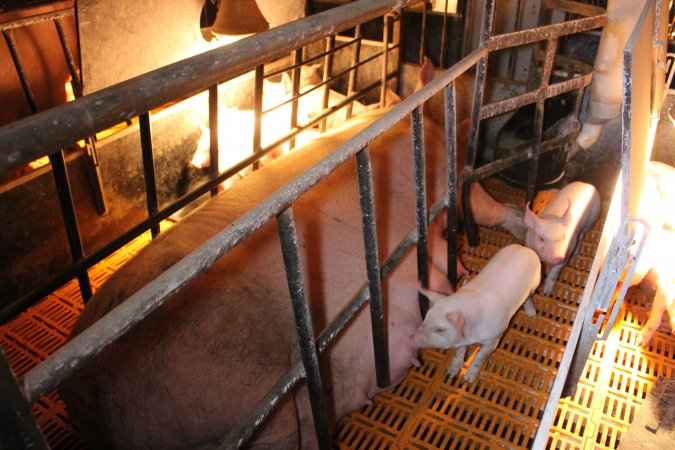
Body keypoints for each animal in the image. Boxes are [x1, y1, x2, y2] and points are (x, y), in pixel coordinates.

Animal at [410, 244, 540, 382]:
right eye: (425, 319)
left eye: (439, 330)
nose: (412, 338)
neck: (471, 335)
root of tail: (524, 248)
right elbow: (459, 353)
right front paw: (450, 374)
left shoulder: (493, 338)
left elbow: (479, 356)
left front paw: (467, 381)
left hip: (535, 283)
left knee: (528, 297)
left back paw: (533, 314)